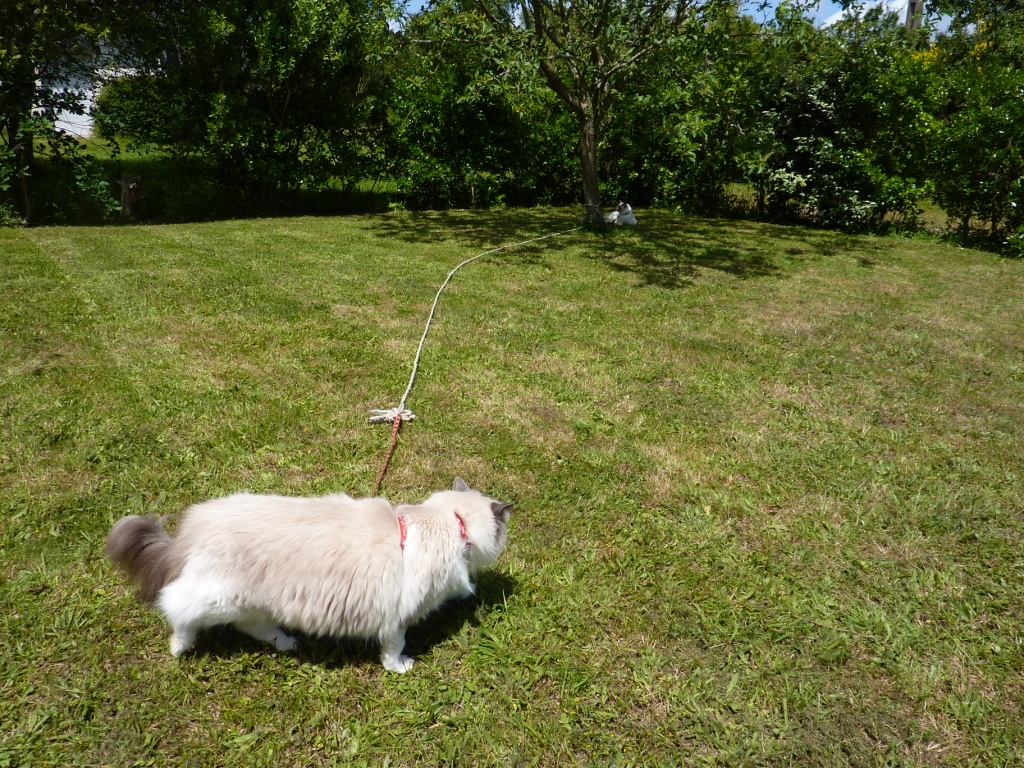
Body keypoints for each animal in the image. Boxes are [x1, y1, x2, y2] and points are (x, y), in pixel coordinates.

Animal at [105, 481, 512, 671]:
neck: (449, 522)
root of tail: (197, 525)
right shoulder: (398, 617)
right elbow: (394, 649)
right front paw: (401, 668)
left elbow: (463, 585)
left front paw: (468, 590)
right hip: (218, 597)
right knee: (177, 607)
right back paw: (179, 646)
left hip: (255, 602)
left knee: (256, 627)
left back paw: (287, 643)